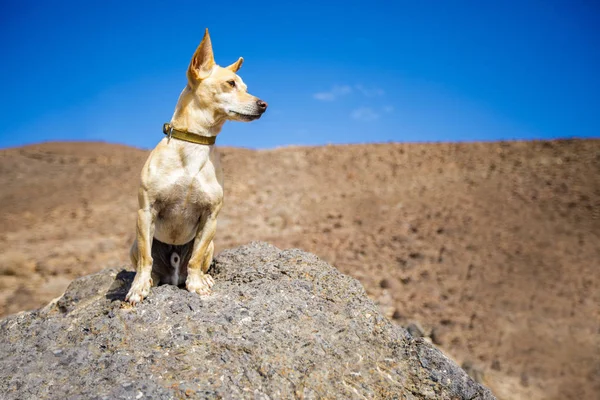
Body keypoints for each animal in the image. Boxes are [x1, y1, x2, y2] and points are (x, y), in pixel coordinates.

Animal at [125, 28, 266, 304]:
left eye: (245, 86)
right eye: (231, 83)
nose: (263, 104)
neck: (195, 144)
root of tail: (172, 277)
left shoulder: (210, 217)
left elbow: (196, 258)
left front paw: (197, 284)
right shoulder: (145, 211)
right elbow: (146, 259)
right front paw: (138, 288)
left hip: (210, 243)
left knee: (197, 260)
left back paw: (203, 277)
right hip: (136, 241)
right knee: (148, 263)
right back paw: (150, 280)